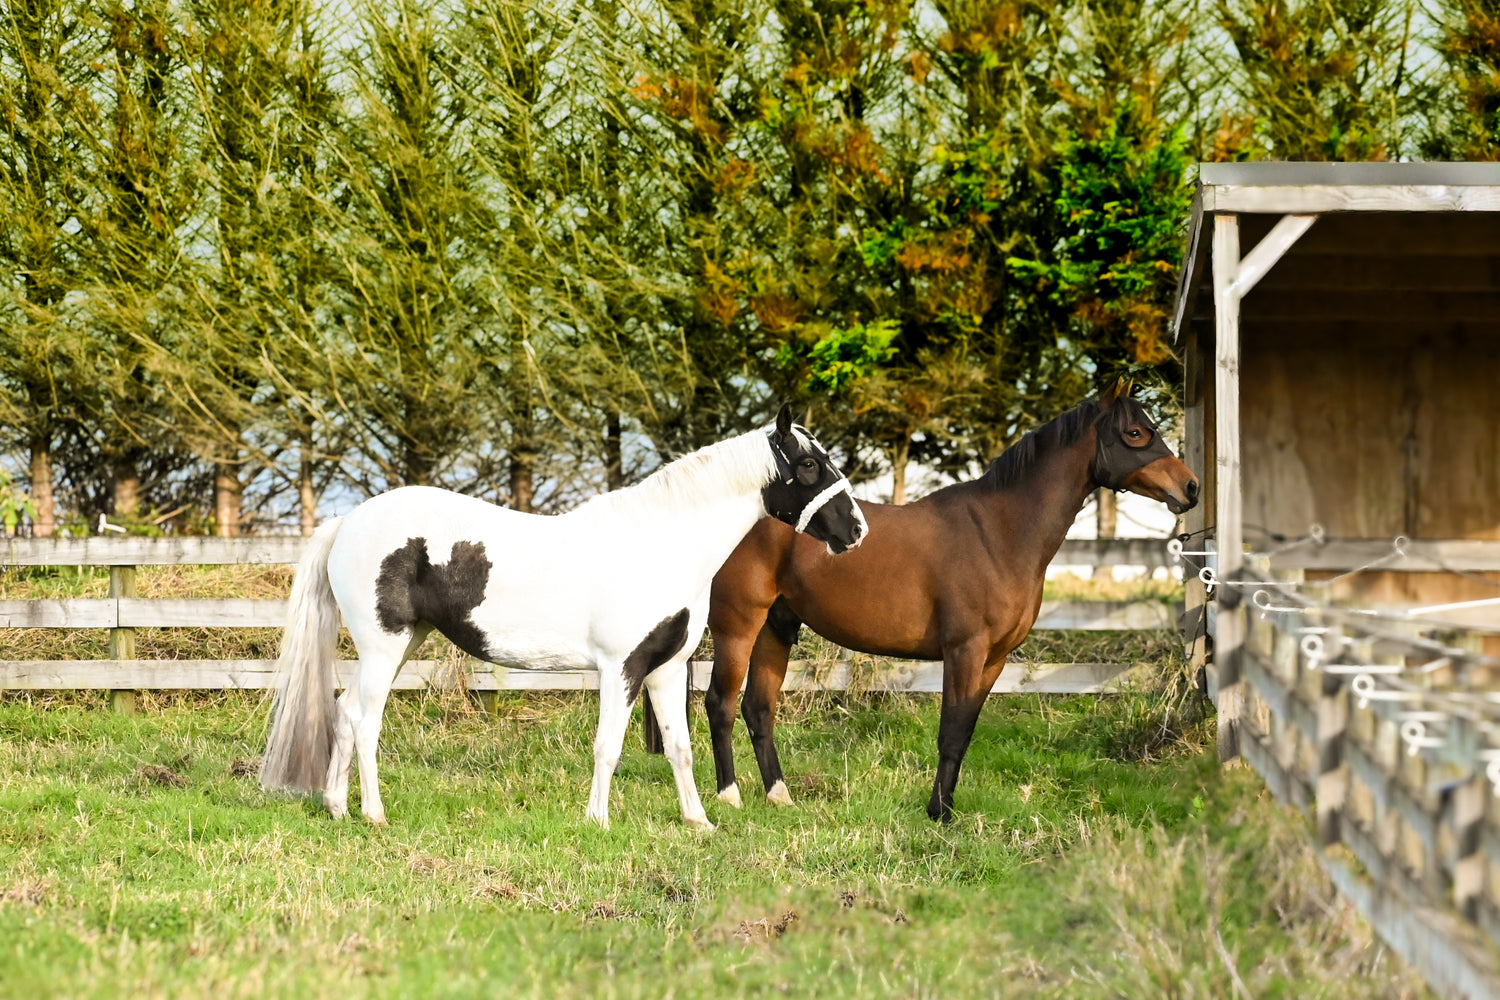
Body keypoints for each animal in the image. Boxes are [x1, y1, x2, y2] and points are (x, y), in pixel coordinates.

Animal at [259, 404, 870, 827]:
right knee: (366, 722)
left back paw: (337, 808)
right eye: (809, 463)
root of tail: (347, 522)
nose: (856, 530)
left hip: (402, 643)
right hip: (384, 645)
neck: (661, 544)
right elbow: (608, 745)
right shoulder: (622, 668)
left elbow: (679, 746)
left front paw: (698, 821)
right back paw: (374, 814)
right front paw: (598, 821)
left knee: (344, 712)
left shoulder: (666, 668)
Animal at [699, 386, 1194, 821]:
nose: (1190, 488)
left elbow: (965, 731)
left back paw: (779, 797)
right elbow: (950, 733)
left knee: (758, 708)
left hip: (775, 626)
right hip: (737, 626)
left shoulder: (993, 659)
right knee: (720, 704)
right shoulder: (964, 651)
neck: (999, 532)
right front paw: (939, 813)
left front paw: (947, 807)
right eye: (1136, 432)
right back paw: (728, 799)